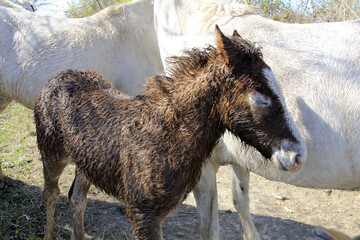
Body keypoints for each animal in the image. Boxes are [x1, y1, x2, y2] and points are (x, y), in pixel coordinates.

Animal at [154, 0, 360, 239]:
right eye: (260, 99)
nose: (299, 156)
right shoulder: (240, 156)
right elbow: (239, 200)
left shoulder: (206, 166)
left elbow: (211, 226)